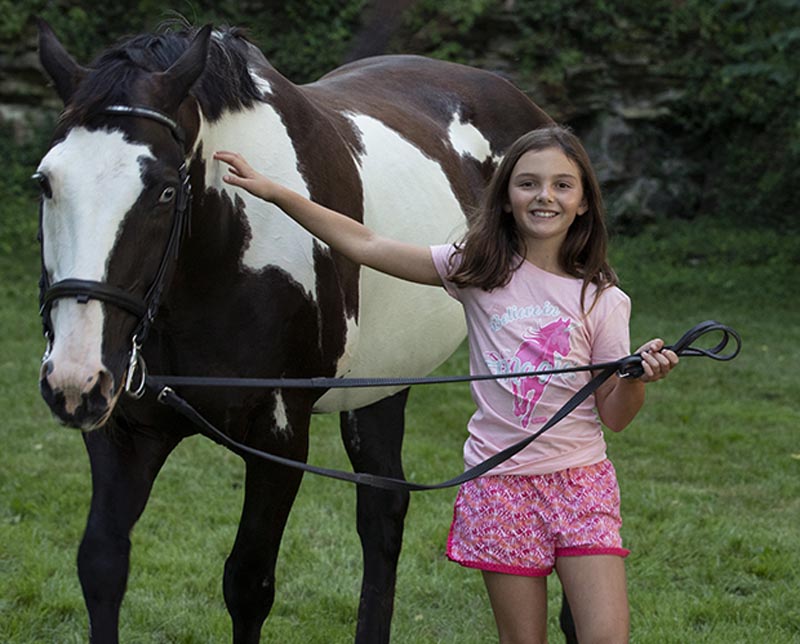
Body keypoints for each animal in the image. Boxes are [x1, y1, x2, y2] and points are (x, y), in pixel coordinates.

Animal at [34, 19, 558, 643]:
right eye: (45, 183)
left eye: (164, 190)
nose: (73, 377)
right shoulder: (123, 431)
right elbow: (102, 564)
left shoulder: (279, 436)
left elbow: (248, 582)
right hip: (383, 380)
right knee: (383, 511)